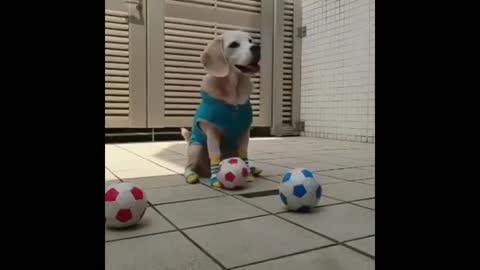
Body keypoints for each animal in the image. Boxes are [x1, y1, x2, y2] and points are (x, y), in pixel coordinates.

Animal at [180, 30, 262, 188]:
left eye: (250, 41)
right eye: (234, 44)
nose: (257, 47)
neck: (234, 92)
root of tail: (204, 170)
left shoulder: (245, 131)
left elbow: (244, 153)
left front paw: (248, 174)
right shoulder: (212, 131)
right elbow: (215, 155)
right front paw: (215, 179)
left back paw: (253, 169)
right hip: (196, 147)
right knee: (188, 167)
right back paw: (192, 175)